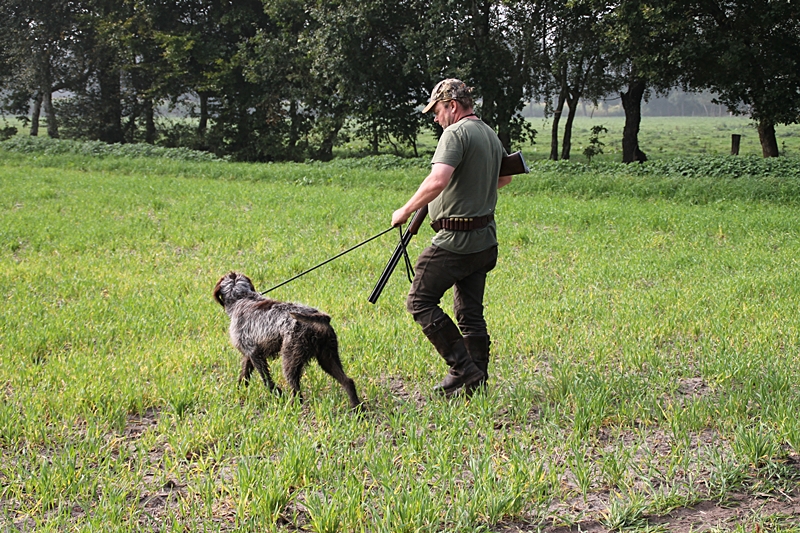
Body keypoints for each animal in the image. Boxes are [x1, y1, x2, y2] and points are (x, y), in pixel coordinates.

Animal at [212, 270, 362, 408]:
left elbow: (267, 380)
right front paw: (239, 393)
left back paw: (291, 408)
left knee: (297, 391)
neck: (241, 298)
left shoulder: (254, 353)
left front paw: (278, 394)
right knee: (348, 382)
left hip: (290, 359)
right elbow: (244, 377)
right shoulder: (249, 354)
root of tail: (320, 318)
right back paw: (357, 408)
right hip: (327, 358)